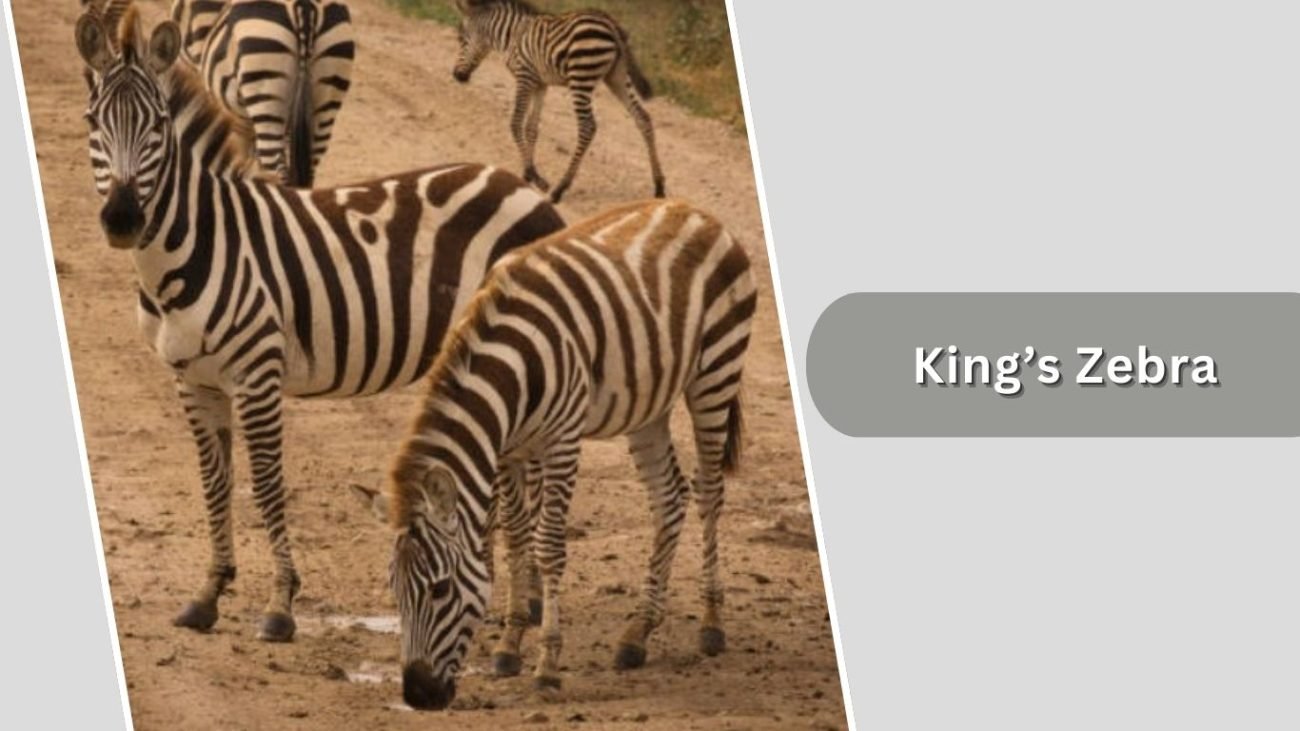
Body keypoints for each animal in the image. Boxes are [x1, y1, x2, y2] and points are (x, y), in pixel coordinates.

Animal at [354, 198, 757, 709]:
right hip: (649, 402)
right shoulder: (507, 452)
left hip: (716, 373)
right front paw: (509, 645)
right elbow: (515, 538)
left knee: (709, 494)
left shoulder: (562, 442)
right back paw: (638, 632)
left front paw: (546, 664)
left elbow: (547, 546)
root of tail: (692, 209)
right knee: (669, 498)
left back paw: (710, 623)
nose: (418, 695)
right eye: (393, 590)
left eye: (441, 589)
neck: (511, 370)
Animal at [452, 0, 666, 204]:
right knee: (643, 118)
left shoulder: (524, 77)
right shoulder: (540, 84)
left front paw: (531, 174)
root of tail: (610, 23)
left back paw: (560, 189)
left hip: (581, 77)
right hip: (617, 77)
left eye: (461, 39)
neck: (512, 36)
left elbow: (516, 122)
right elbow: (531, 127)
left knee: (587, 127)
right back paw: (659, 186)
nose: (456, 76)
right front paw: (530, 174)